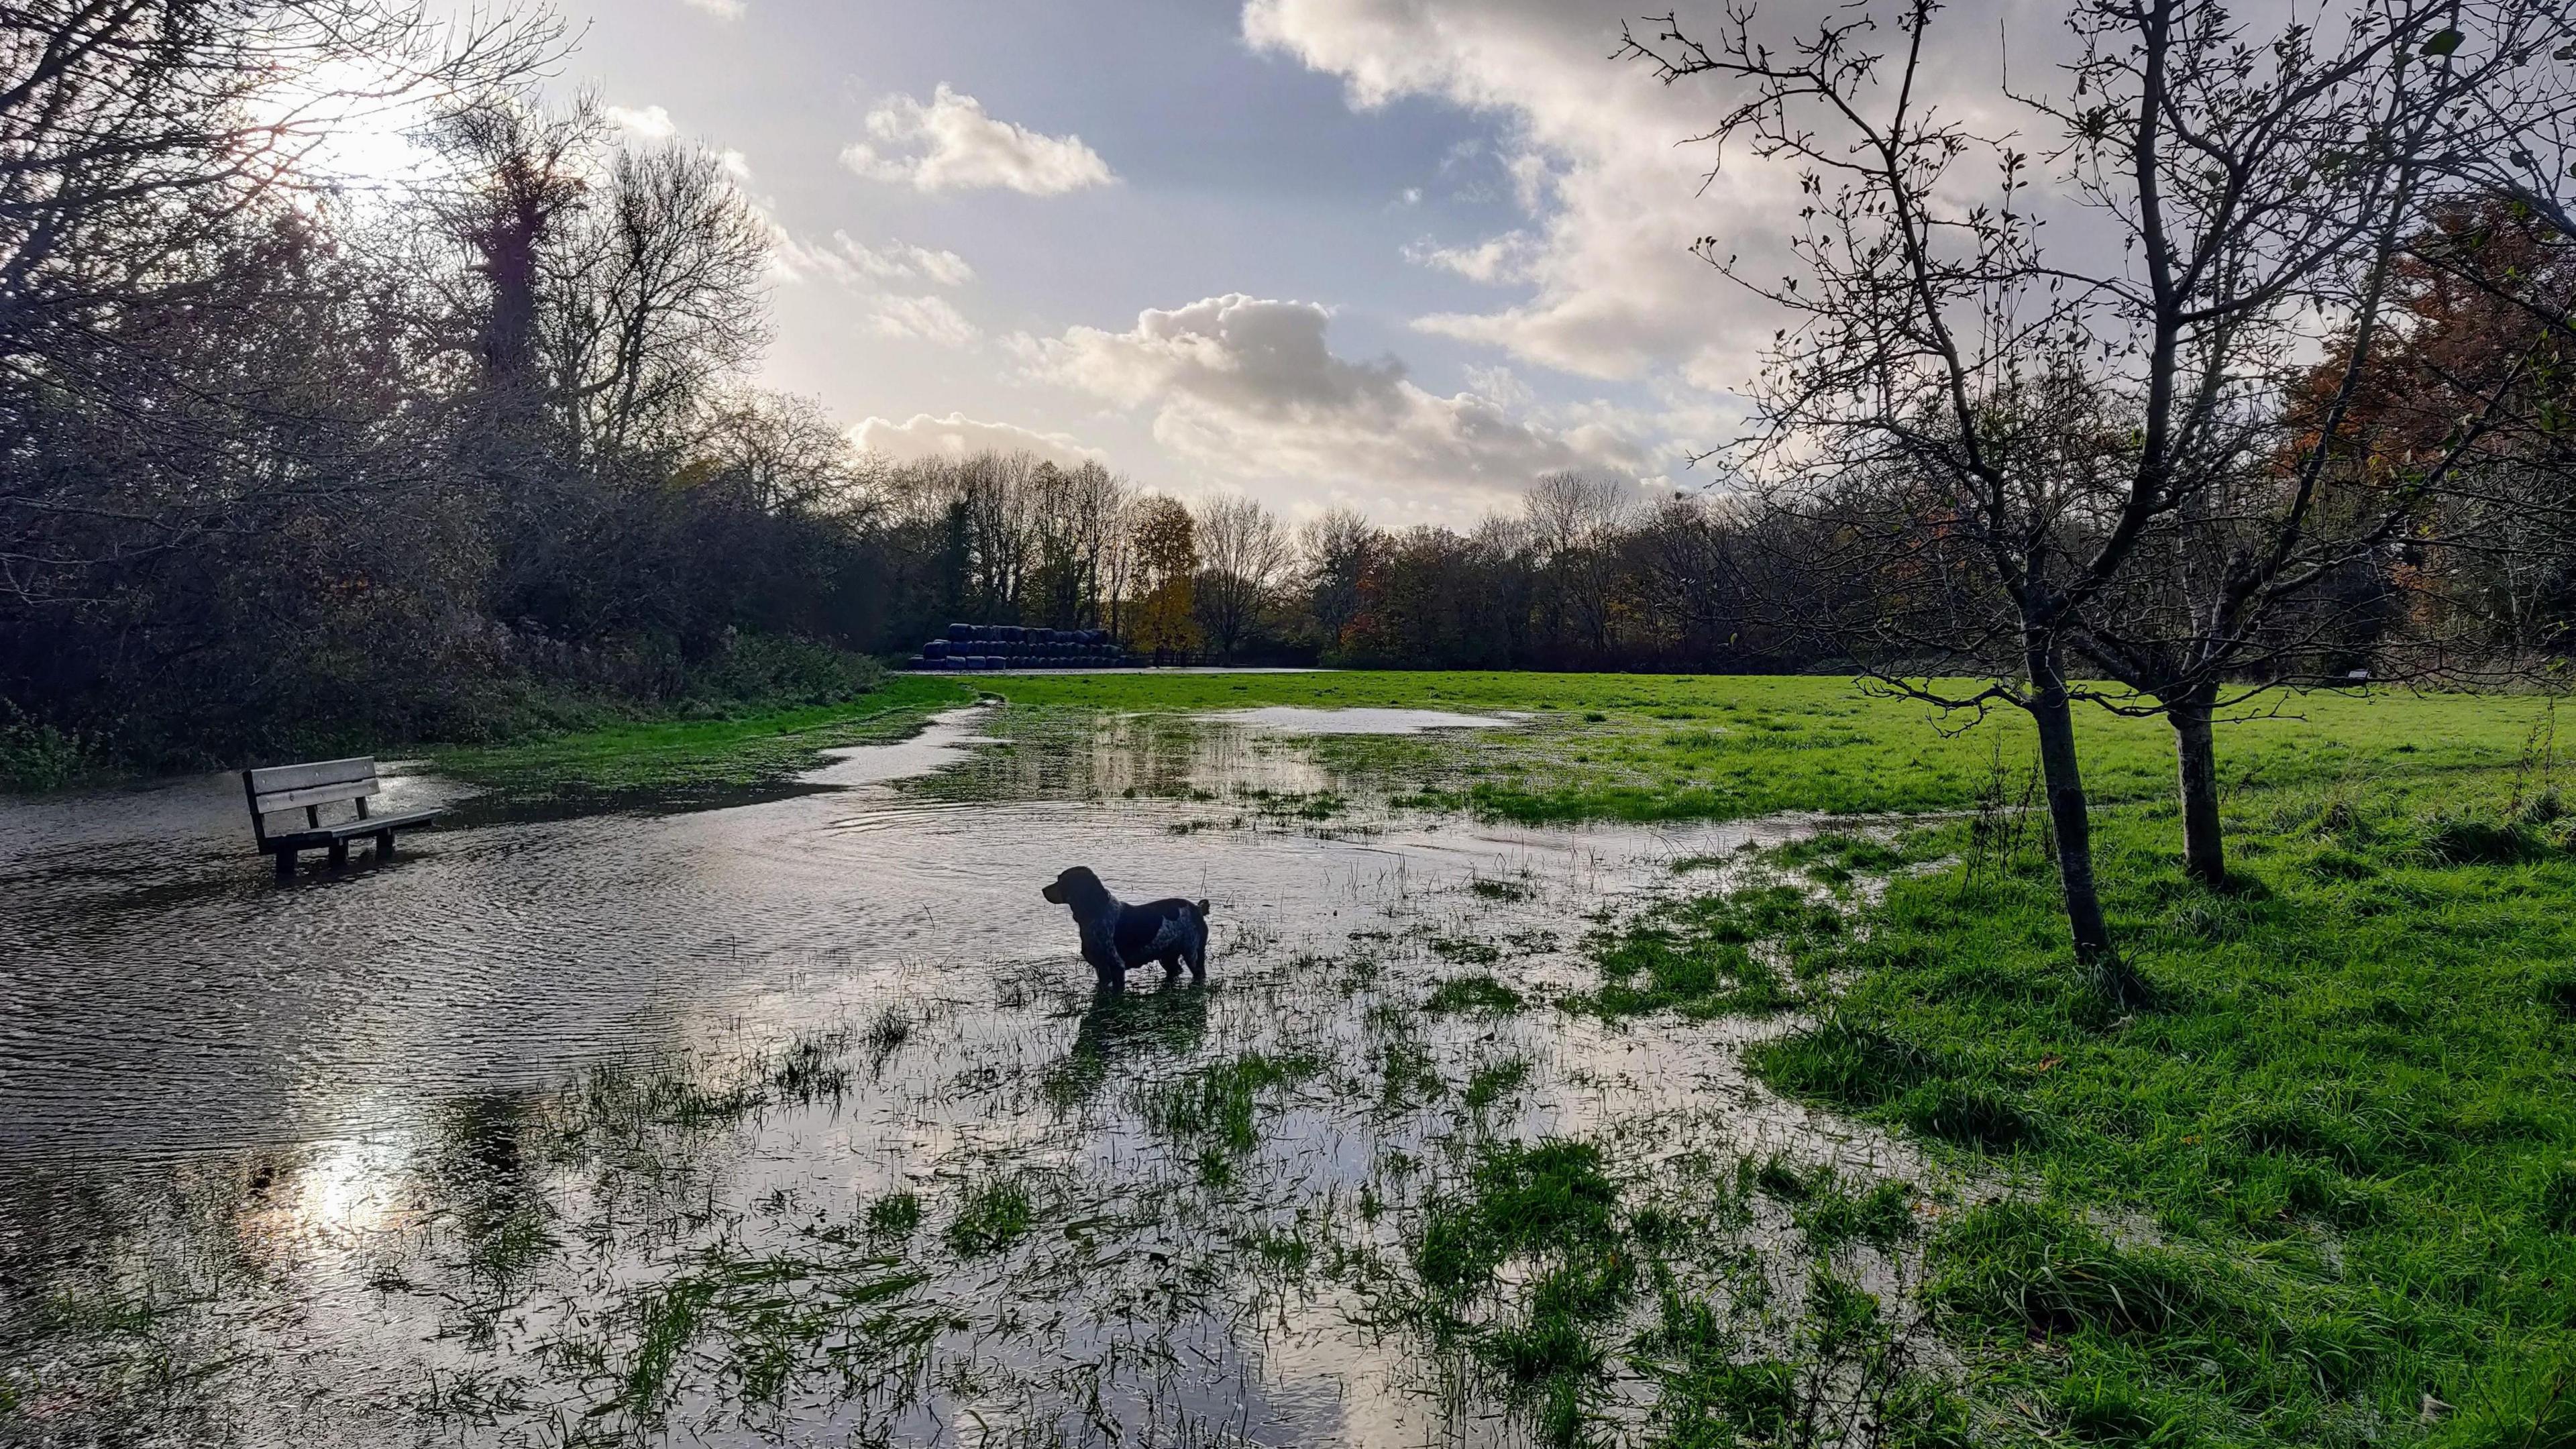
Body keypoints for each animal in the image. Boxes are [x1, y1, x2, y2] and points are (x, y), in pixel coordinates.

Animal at [1040, 861, 1210, 985]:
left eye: (1062, 881)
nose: (1043, 890)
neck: (1096, 913)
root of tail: (1198, 909)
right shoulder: (1102, 969)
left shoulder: (1116, 967)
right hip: (1168, 957)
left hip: (1193, 953)